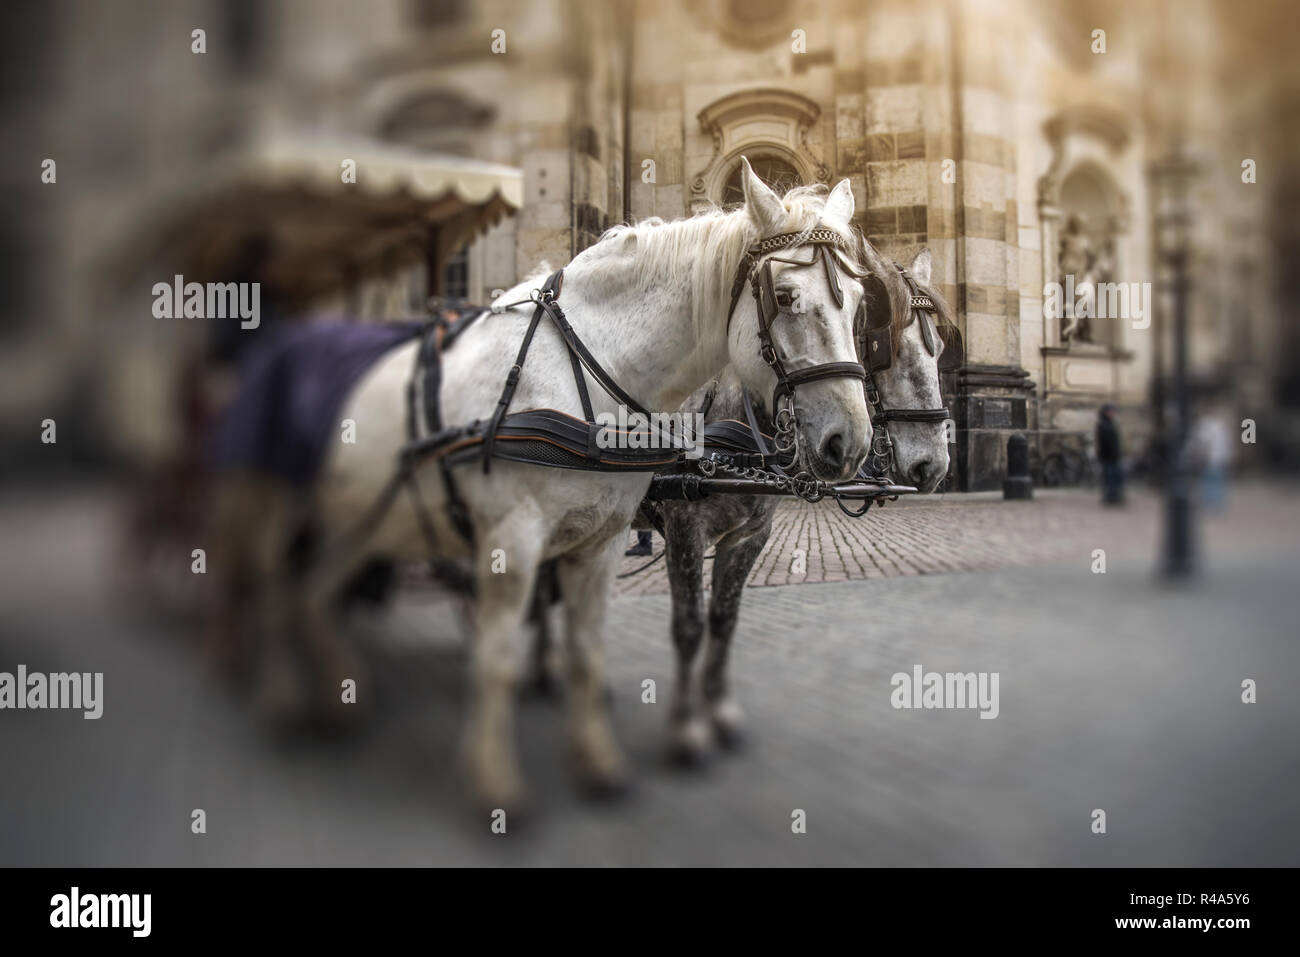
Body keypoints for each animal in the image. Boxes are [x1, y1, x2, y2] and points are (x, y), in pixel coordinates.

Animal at [231, 158, 873, 806]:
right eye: (786, 296)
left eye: (859, 303)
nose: (850, 442)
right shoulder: (531, 541)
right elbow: (507, 655)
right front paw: (498, 779)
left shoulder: (622, 541)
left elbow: (618, 644)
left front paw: (607, 758)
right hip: (273, 500)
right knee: (271, 584)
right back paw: (281, 693)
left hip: (354, 516)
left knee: (312, 592)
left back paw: (340, 692)